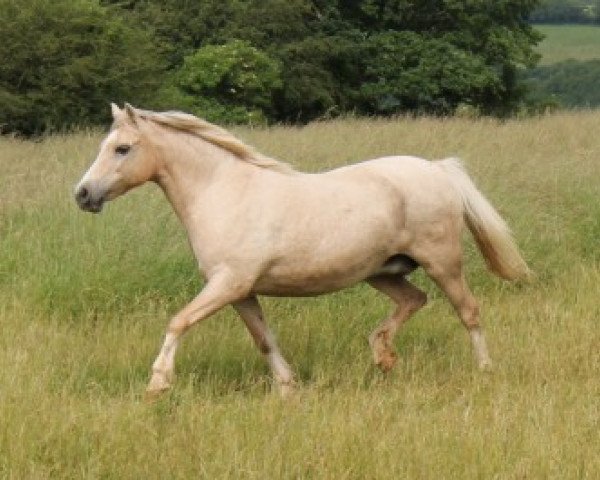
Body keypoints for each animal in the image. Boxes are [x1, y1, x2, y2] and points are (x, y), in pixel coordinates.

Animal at [75, 103, 528, 396]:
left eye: (122, 148)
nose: (82, 195)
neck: (222, 190)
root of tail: (436, 169)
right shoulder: (240, 292)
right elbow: (264, 339)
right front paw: (288, 388)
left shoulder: (227, 284)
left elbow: (178, 322)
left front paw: (158, 383)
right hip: (383, 272)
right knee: (414, 300)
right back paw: (382, 354)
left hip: (442, 262)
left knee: (468, 311)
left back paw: (484, 371)